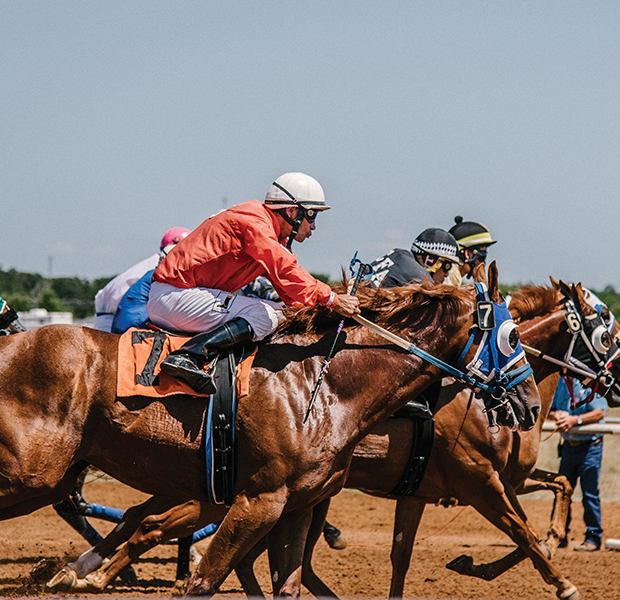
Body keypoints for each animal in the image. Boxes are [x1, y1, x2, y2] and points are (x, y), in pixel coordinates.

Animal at [7, 264, 536, 596]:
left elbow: (296, 580)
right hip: (34, 475)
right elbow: (204, 581)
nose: (530, 405)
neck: (323, 385)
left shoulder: (297, 506)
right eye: (512, 336)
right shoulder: (258, 501)